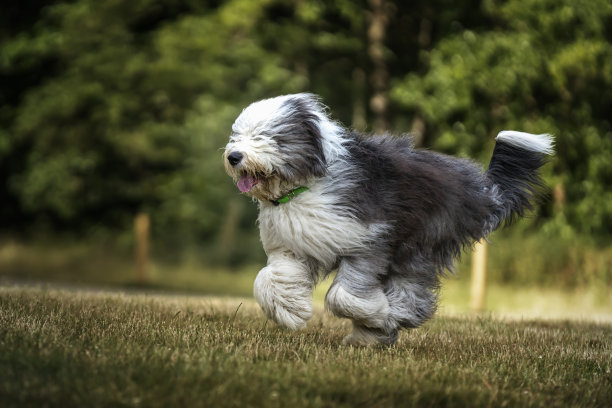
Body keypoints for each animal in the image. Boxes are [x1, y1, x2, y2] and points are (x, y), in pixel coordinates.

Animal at [225, 92, 556, 344]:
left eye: (265, 136)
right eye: (236, 135)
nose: (233, 157)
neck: (305, 185)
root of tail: (479, 188)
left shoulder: (369, 239)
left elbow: (344, 296)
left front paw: (378, 314)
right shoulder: (293, 246)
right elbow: (269, 279)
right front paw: (289, 311)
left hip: (420, 243)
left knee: (411, 289)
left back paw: (388, 321)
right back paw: (371, 336)